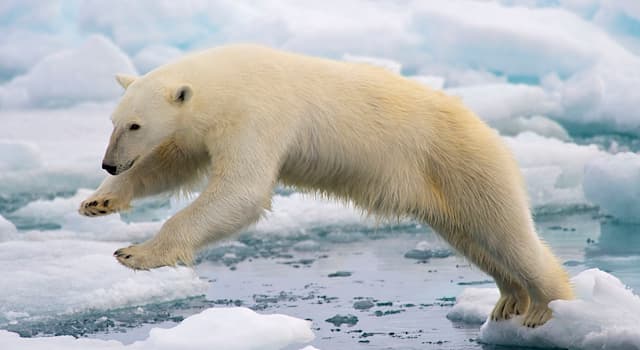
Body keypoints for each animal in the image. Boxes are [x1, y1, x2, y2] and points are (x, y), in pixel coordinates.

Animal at [80, 43, 576, 326]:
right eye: (114, 121)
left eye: (135, 125)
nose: (109, 164)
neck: (227, 80)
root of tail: (488, 130)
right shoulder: (205, 128)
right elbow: (173, 163)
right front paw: (99, 202)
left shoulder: (257, 114)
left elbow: (241, 190)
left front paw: (136, 253)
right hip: (443, 189)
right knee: (474, 239)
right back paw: (509, 299)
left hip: (463, 164)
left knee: (507, 233)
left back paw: (546, 308)